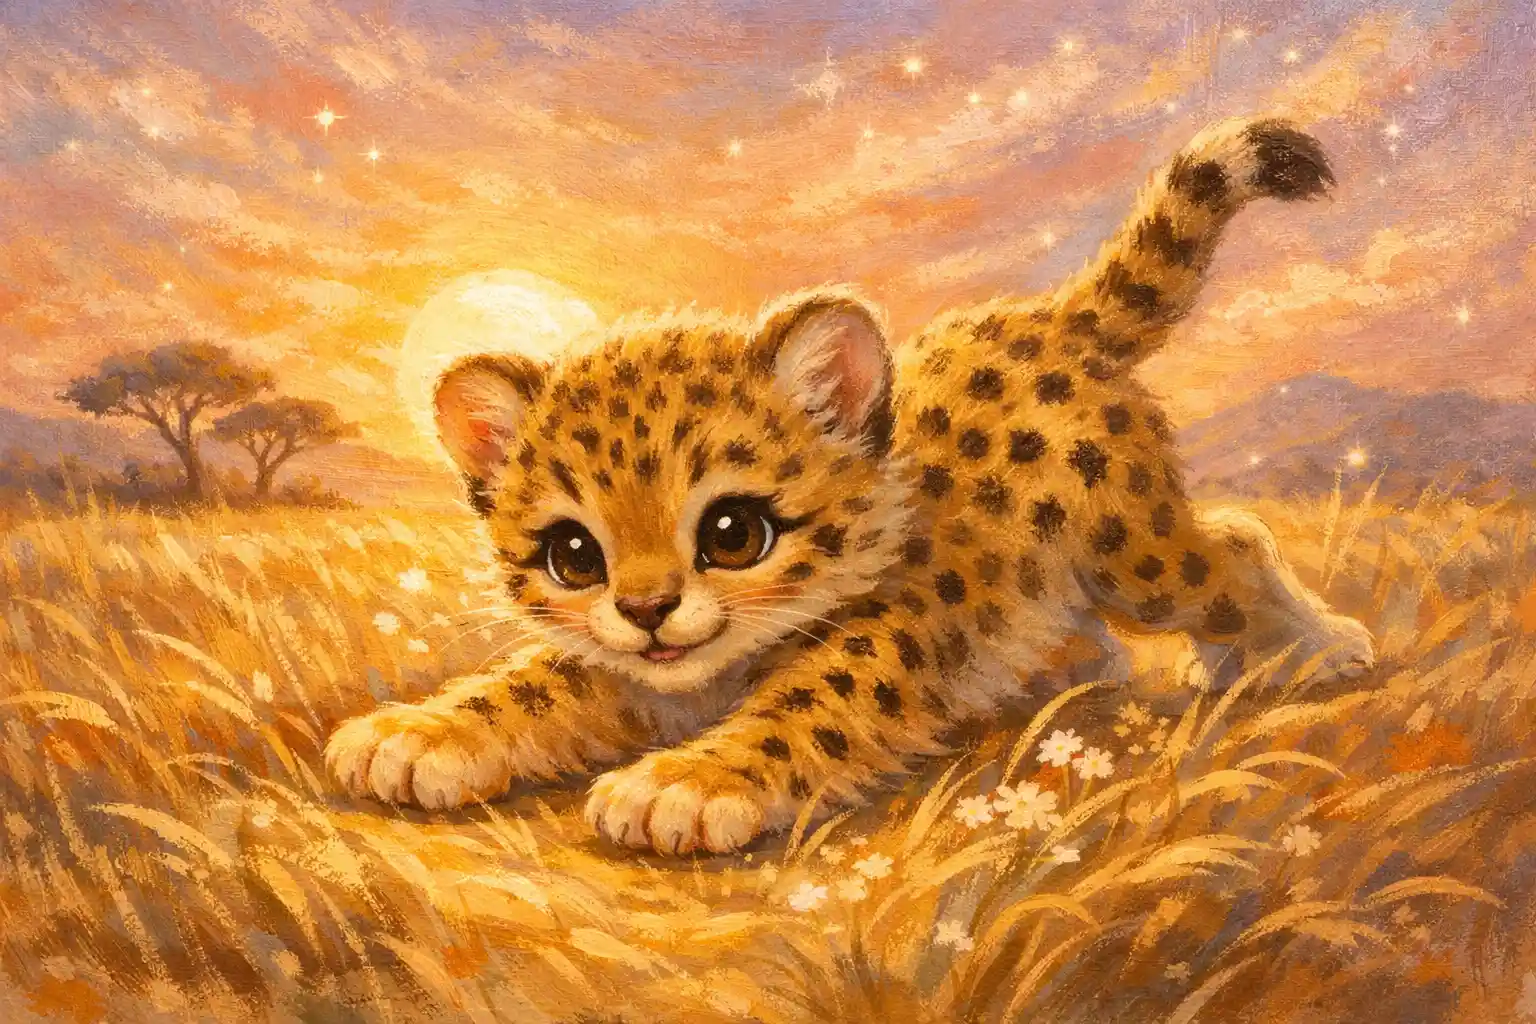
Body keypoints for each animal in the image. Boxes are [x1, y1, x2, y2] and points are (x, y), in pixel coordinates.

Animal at [325, 116, 1375, 855]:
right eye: (572, 553)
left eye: (733, 532)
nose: (649, 610)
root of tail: (1036, 318)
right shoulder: (637, 671)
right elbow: (541, 680)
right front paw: (418, 732)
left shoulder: (890, 633)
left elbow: (809, 704)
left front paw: (689, 783)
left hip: (1136, 556)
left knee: (1227, 550)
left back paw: (1317, 646)